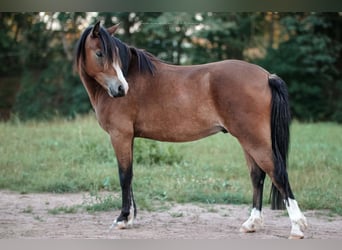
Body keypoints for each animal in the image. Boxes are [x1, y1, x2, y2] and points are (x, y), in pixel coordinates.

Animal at [74, 21, 308, 238]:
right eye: (99, 53)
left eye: (108, 55)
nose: (121, 89)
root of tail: (267, 76)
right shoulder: (128, 137)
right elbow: (130, 176)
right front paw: (130, 218)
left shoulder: (120, 135)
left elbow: (124, 176)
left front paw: (122, 219)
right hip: (247, 140)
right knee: (257, 176)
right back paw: (251, 224)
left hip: (254, 139)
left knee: (278, 173)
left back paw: (297, 227)